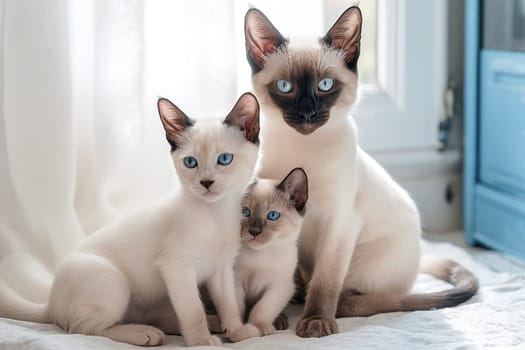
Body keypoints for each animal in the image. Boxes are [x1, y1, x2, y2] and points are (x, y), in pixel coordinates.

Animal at [0, 93, 260, 348]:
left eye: (224, 159)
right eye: (190, 163)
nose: (206, 183)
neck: (216, 213)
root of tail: (51, 304)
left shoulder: (221, 270)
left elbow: (229, 305)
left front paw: (236, 331)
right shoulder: (177, 267)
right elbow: (192, 311)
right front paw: (201, 341)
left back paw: (210, 323)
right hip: (112, 281)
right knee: (84, 328)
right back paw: (144, 334)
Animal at [229, 168, 308, 340]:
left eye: (273, 216)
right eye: (245, 212)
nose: (254, 232)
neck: (260, 255)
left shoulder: (280, 287)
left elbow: (262, 308)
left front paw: (259, 327)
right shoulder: (235, 282)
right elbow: (237, 307)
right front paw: (239, 330)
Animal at [244, 6, 476, 340]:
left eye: (325, 86)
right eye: (285, 87)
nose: (307, 114)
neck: (305, 148)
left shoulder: (339, 223)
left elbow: (325, 282)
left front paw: (316, 322)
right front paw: (273, 317)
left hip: (360, 263)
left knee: (352, 298)